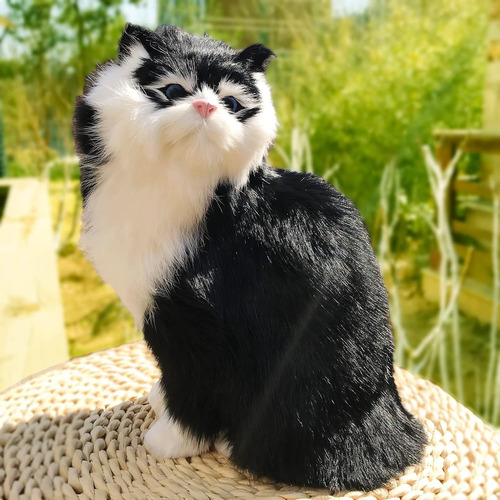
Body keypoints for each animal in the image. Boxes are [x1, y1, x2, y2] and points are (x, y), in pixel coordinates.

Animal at [73, 24, 426, 492]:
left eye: (232, 103)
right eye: (173, 90)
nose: (205, 105)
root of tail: (391, 434)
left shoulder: (191, 327)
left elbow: (189, 392)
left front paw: (169, 440)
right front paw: (158, 398)